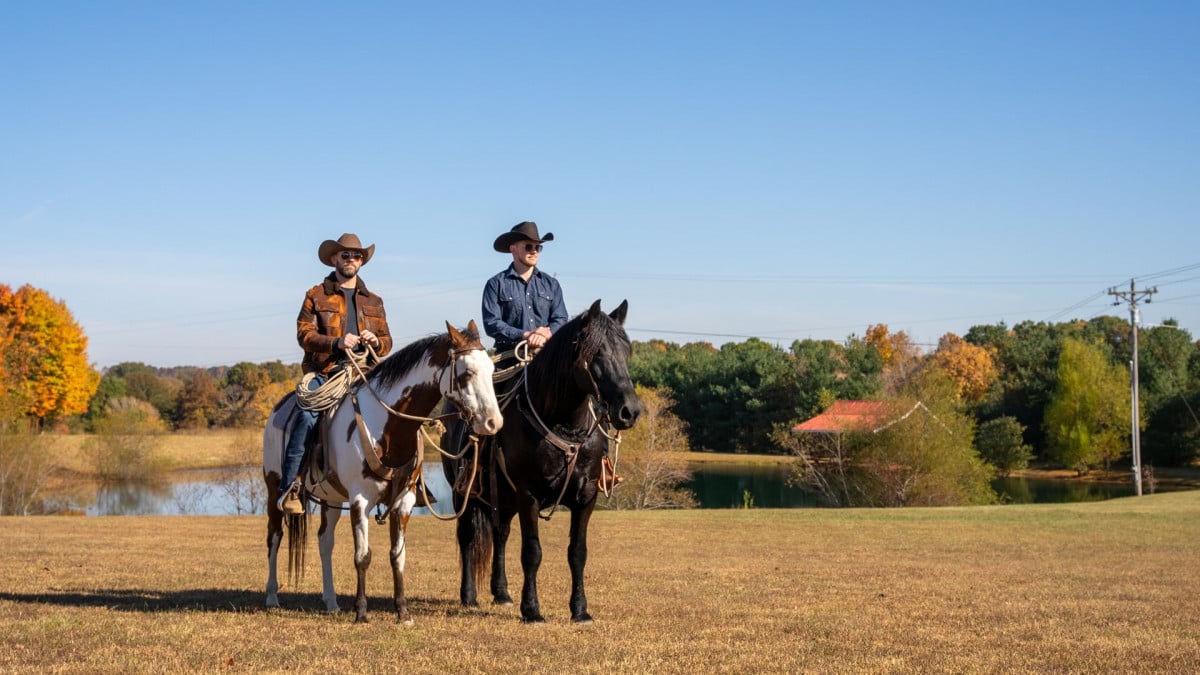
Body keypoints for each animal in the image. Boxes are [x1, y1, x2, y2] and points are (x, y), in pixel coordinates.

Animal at [262, 319, 501, 619]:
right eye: (467, 373)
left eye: (492, 369)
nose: (493, 422)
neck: (387, 428)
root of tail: (279, 408)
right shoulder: (360, 500)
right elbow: (363, 556)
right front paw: (361, 611)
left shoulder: (404, 500)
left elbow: (397, 555)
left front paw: (403, 612)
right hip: (274, 489)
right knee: (274, 537)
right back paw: (272, 596)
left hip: (331, 499)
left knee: (325, 541)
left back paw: (331, 601)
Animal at [441, 296, 643, 624]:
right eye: (597, 352)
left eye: (626, 351)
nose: (630, 411)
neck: (563, 425)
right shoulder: (528, 496)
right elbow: (532, 552)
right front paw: (532, 610)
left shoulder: (586, 496)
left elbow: (577, 552)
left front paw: (580, 610)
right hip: (464, 494)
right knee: (468, 537)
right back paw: (469, 596)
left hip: (503, 499)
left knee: (500, 535)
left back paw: (501, 593)